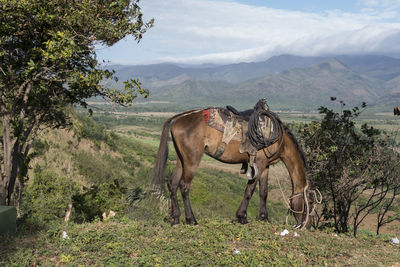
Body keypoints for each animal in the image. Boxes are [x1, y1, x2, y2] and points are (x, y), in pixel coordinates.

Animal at [152, 107, 314, 228]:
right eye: (309, 204)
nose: (307, 225)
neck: (279, 138)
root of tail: (178, 118)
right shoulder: (259, 163)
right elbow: (250, 190)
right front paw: (242, 217)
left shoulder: (266, 166)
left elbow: (264, 192)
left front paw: (263, 217)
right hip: (192, 160)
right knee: (184, 186)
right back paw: (191, 219)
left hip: (182, 159)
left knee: (172, 184)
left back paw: (175, 218)